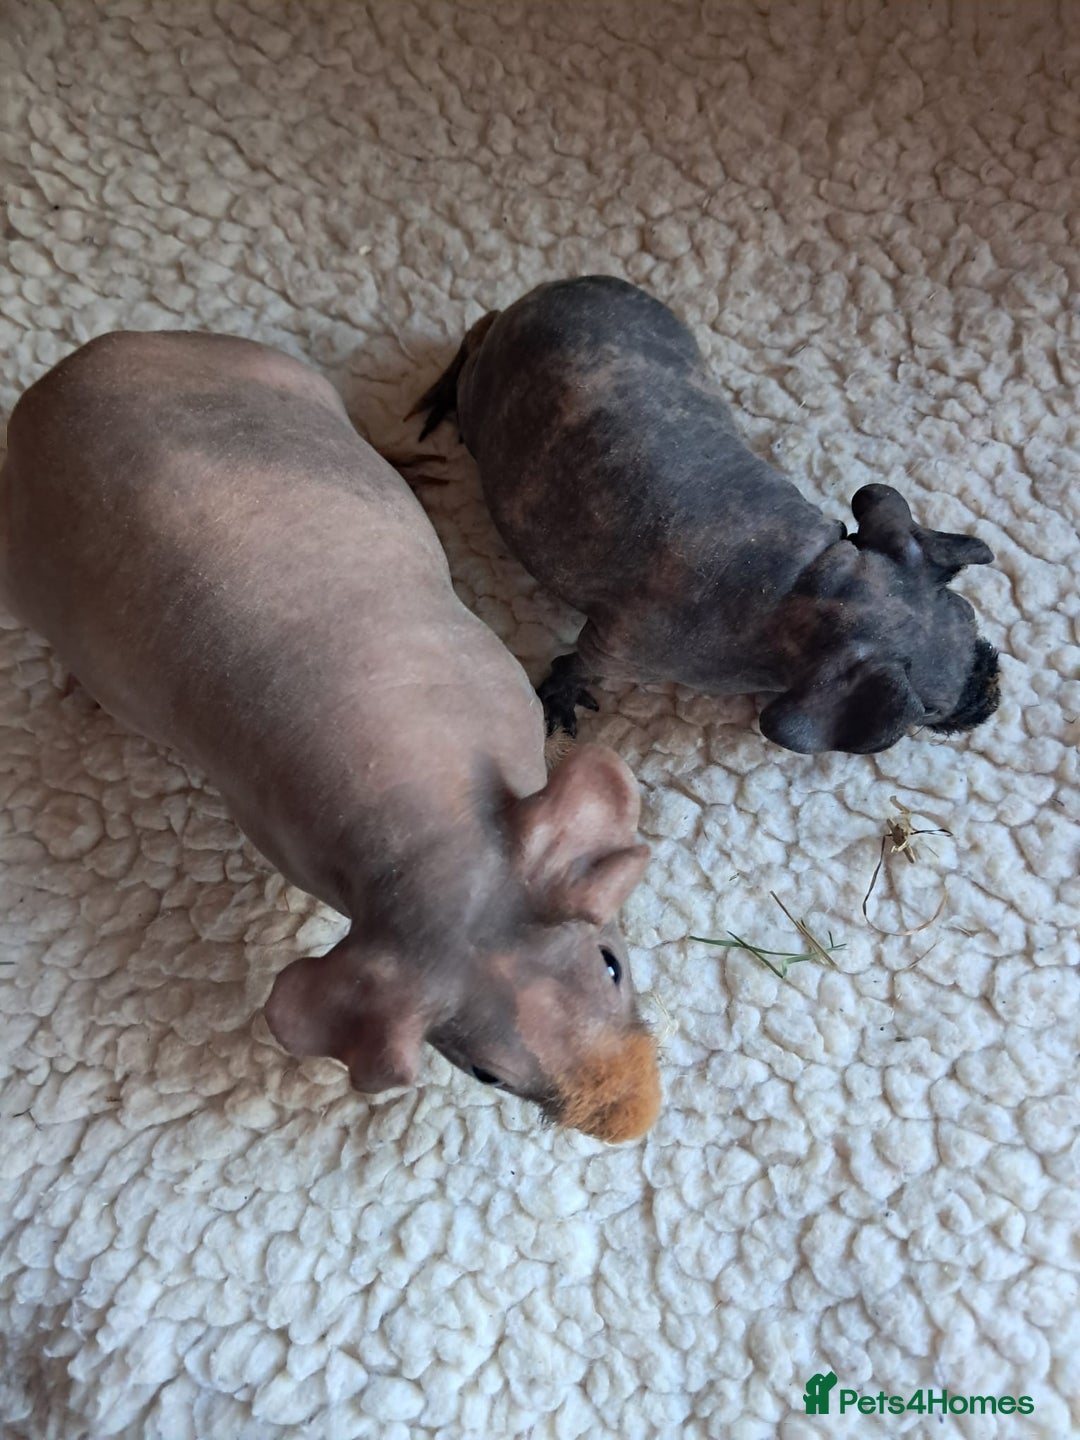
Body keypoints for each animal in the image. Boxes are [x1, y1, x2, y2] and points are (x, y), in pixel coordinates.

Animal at [0, 331, 659, 1143]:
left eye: (611, 963)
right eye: (488, 1075)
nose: (634, 1117)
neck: (428, 830)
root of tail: (50, 391)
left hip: (265, 368)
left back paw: (404, 462)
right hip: (23, 572)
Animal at [414, 275, 1000, 755]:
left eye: (967, 614)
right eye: (929, 708)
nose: (991, 689)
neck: (810, 584)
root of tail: (541, 292)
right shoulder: (620, 645)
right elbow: (578, 663)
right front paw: (558, 701)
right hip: (479, 402)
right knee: (472, 343)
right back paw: (435, 400)